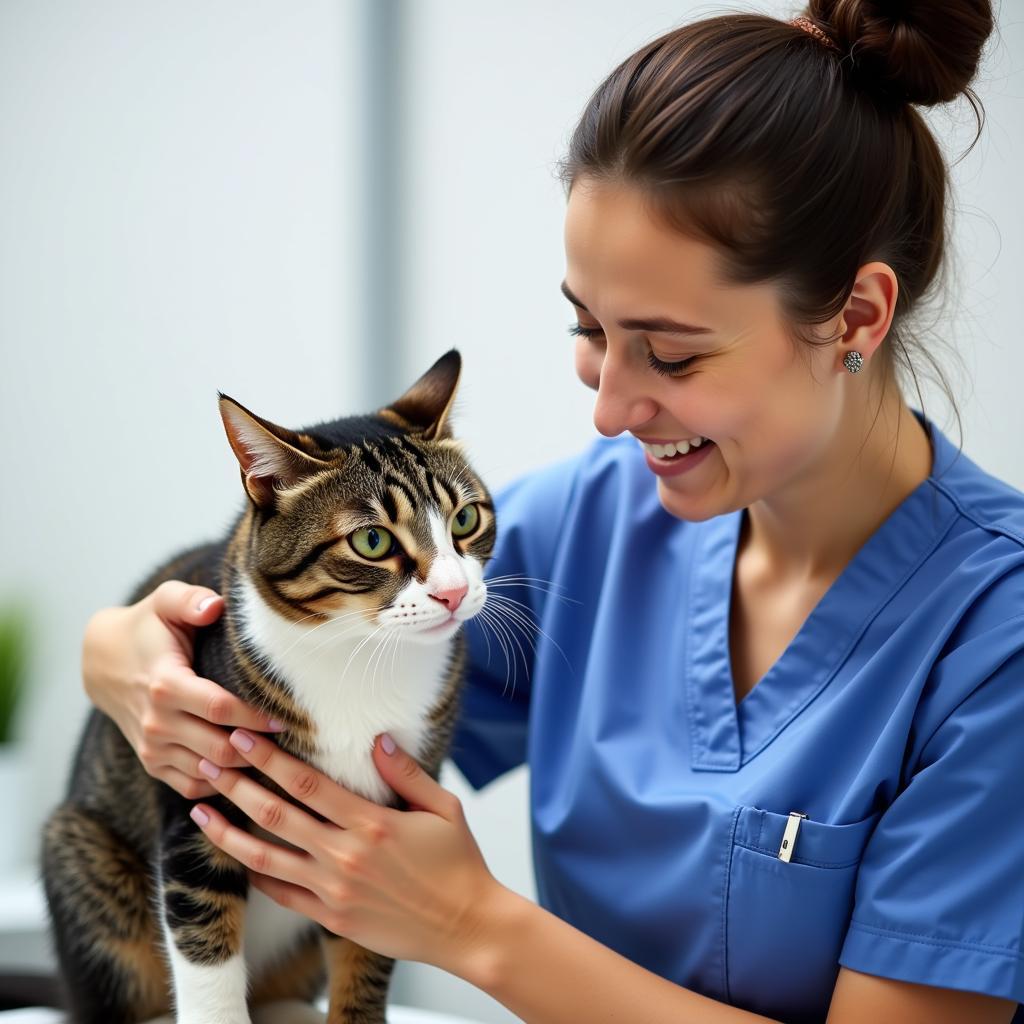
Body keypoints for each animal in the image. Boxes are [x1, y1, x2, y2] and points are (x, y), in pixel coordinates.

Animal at [41, 352, 497, 1024]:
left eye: (466, 518)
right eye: (372, 540)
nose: (454, 592)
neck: (358, 655)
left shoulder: (386, 830)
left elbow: (367, 951)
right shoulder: (197, 798)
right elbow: (205, 941)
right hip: (81, 852)